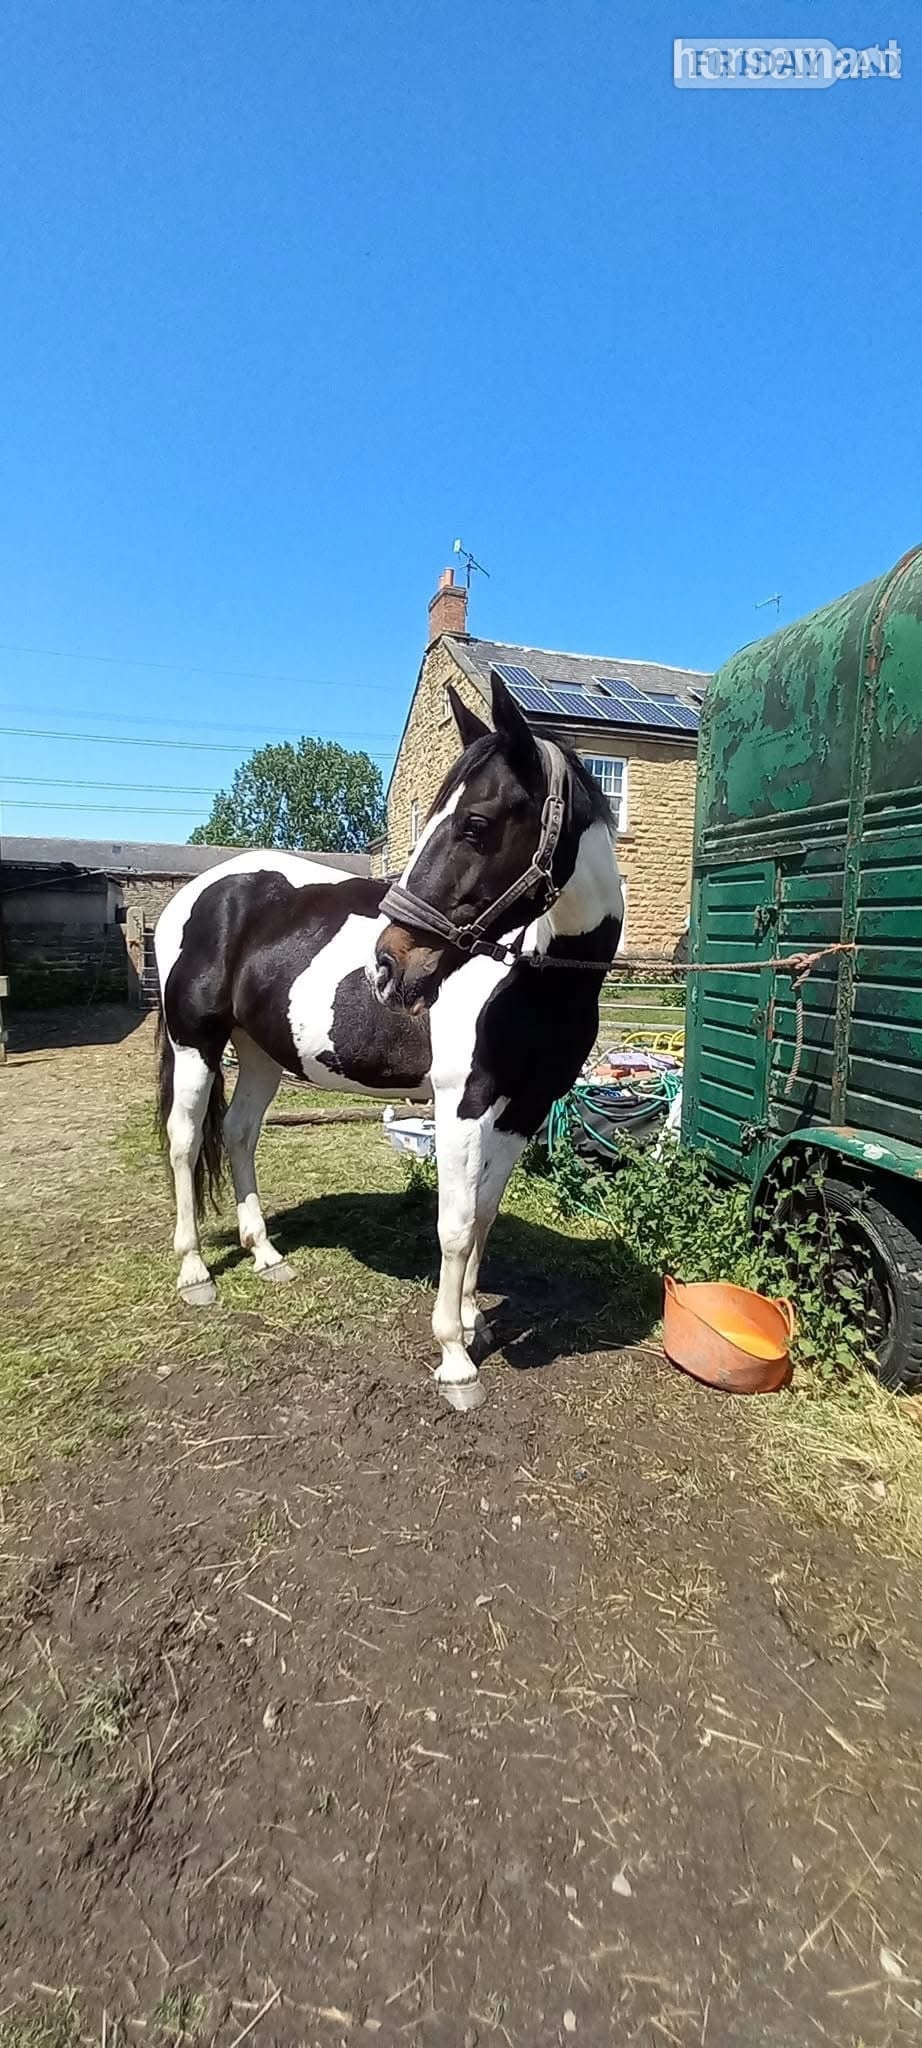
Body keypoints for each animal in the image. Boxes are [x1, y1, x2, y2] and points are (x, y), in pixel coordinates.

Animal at [154, 675, 623, 1405]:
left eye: (476, 824)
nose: (388, 966)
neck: (535, 974)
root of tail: (200, 892)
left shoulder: (523, 1107)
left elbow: (485, 1213)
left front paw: (473, 1319)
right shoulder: (461, 1104)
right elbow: (454, 1225)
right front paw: (455, 1357)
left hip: (259, 1052)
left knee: (238, 1135)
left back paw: (265, 1255)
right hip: (194, 1043)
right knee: (183, 1142)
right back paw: (195, 1272)